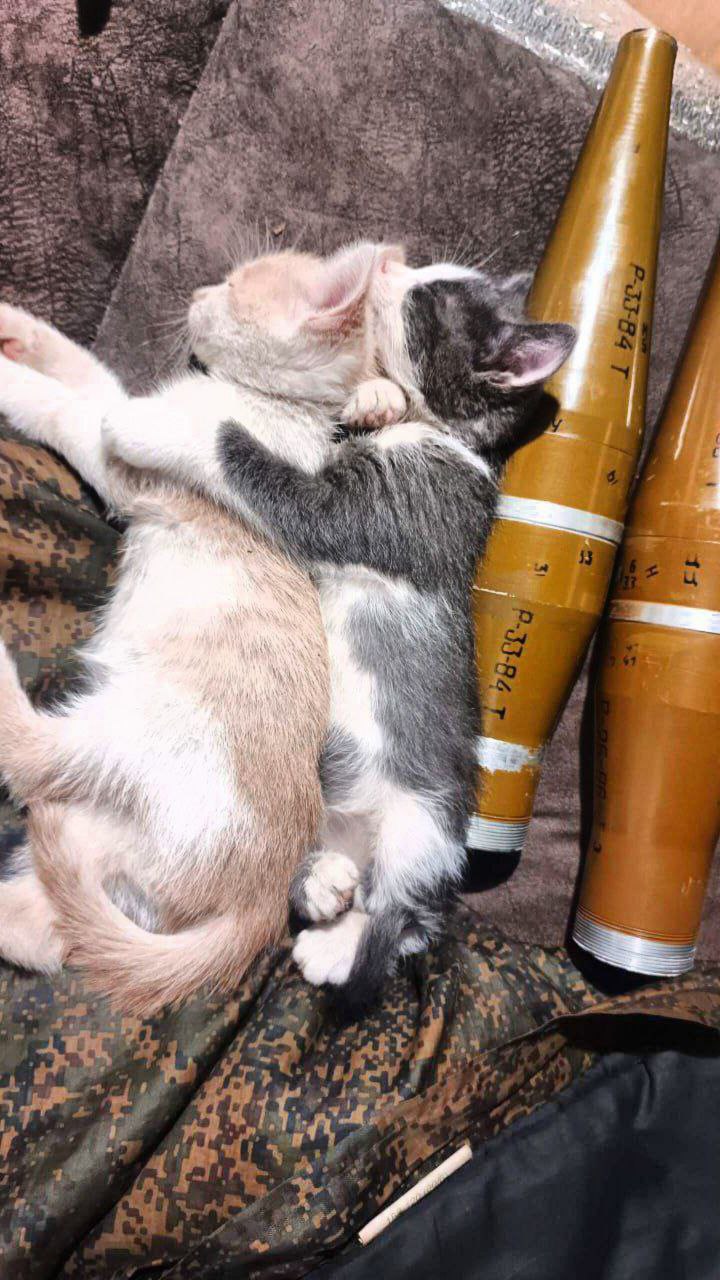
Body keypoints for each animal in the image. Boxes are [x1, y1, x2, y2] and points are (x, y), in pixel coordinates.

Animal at [0, 241, 402, 1014]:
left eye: (238, 285)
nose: (198, 291)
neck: (279, 412)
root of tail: (257, 901)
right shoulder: (125, 403)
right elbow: (80, 366)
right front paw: (13, 327)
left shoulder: (127, 453)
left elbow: (64, 405)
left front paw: (8, 376)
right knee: (48, 932)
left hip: (135, 725)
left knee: (28, 756)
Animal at [101, 251, 575, 1009]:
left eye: (425, 301)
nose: (388, 262)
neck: (446, 437)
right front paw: (371, 399)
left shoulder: (385, 507)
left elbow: (248, 458)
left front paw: (153, 426)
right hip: (318, 809)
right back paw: (322, 897)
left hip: (423, 827)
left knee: (396, 921)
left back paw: (343, 950)